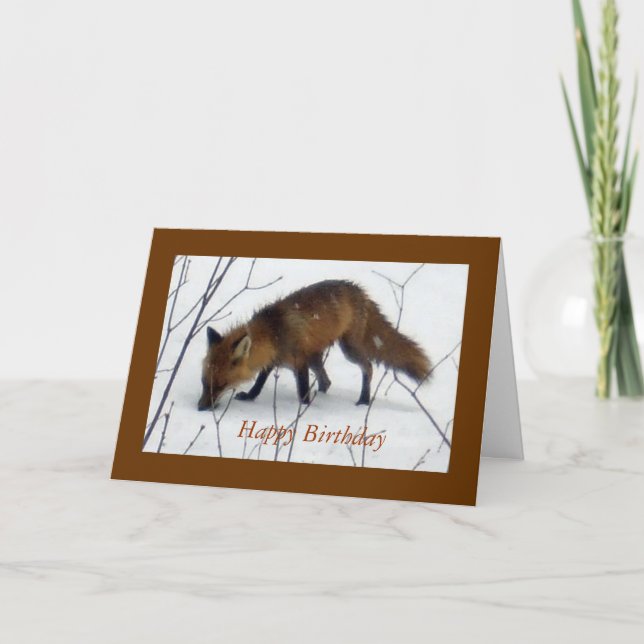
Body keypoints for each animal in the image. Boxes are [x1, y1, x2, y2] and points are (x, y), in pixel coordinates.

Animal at [197, 279, 431, 410]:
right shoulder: (275, 359)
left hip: (348, 350)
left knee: (368, 367)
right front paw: (250, 396)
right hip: (316, 356)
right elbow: (260, 382)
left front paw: (305, 409)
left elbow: (302, 390)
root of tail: (359, 291)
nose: (200, 408)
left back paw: (364, 400)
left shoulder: (299, 361)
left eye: (220, 385)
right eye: (204, 382)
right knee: (326, 381)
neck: (274, 333)